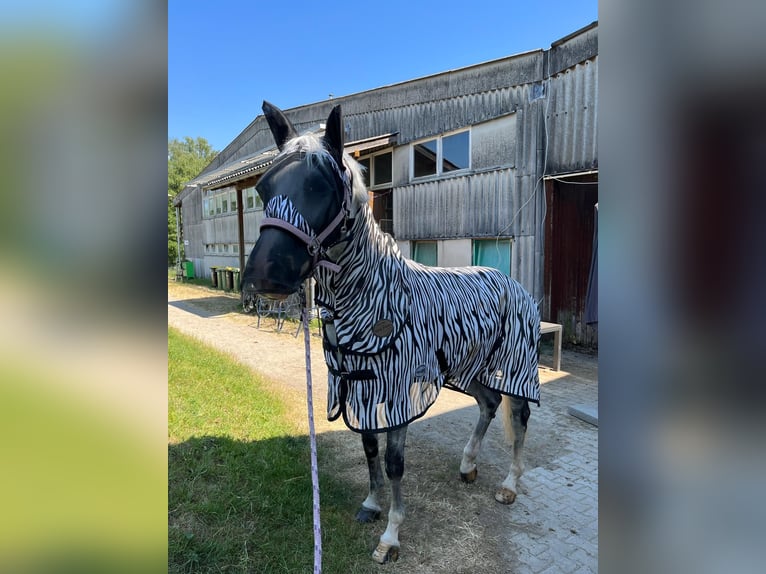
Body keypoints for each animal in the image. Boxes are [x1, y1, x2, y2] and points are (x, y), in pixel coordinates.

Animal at [241, 101, 541, 564]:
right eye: (264, 187)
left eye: (322, 185)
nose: (263, 276)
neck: (376, 303)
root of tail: (512, 281)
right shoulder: (359, 389)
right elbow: (369, 449)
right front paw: (371, 504)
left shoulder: (400, 395)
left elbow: (395, 462)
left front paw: (391, 537)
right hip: (467, 370)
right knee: (489, 404)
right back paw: (467, 465)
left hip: (515, 366)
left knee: (519, 417)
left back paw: (509, 485)